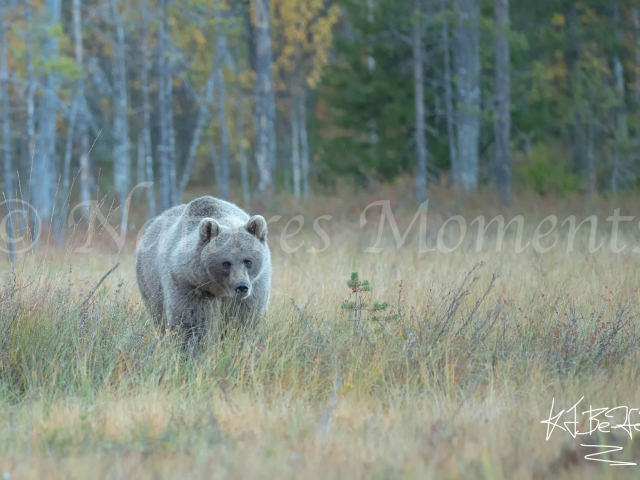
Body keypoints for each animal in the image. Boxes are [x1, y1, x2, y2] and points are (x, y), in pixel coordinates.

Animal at [136, 196, 272, 342]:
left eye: (248, 261)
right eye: (226, 263)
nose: (241, 287)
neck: (219, 289)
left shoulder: (255, 286)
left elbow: (243, 318)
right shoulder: (189, 284)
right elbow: (191, 320)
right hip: (149, 282)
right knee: (158, 315)